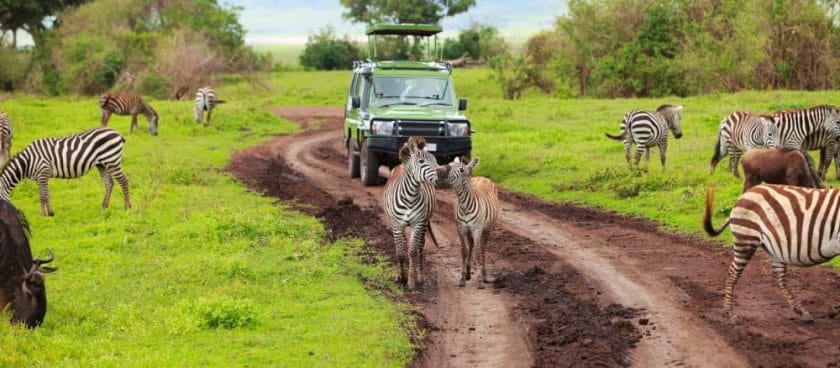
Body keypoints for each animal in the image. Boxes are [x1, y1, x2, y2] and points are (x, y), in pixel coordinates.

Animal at [0, 128, 131, 217]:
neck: (28, 161)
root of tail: (116, 133)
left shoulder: (43, 173)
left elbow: (43, 196)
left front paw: (44, 214)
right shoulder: (39, 177)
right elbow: (44, 195)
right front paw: (48, 213)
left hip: (112, 160)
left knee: (123, 181)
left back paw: (127, 206)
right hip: (102, 164)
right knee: (109, 183)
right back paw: (104, 206)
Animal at [384, 137, 440, 288]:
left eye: (435, 160)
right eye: (421, 162)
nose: (441, 176)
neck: (410, 197)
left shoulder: (418, 224)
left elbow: (413, 251)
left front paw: (410, 280)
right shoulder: (397, 225)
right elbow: (400, 252)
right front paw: (400, 276)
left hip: (425, 223)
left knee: (420, 247)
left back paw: (419, 275)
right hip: (400, 225)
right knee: (403, 246)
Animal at [436, 155, 496, 288]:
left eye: (461, 170)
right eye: (449, 164)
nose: (439, 173)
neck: (465, 205)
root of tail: (483, 177)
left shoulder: (477, 228)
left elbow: (478, 253)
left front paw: (480, 281)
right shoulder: (461, 229)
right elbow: (464, 251)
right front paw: (463, 278)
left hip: (488, 228)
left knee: (483, 248)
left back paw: (484, 275)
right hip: (470, 231)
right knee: (472, 245)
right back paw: (469, 273)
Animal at [704, 184, 840, 322]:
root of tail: (745, 194)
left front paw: (834, 310)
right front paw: (834, 310)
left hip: (775, 250)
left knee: (779, 279)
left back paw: (802, 312)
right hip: (746, 240)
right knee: (732, 274)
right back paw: (729, 313)